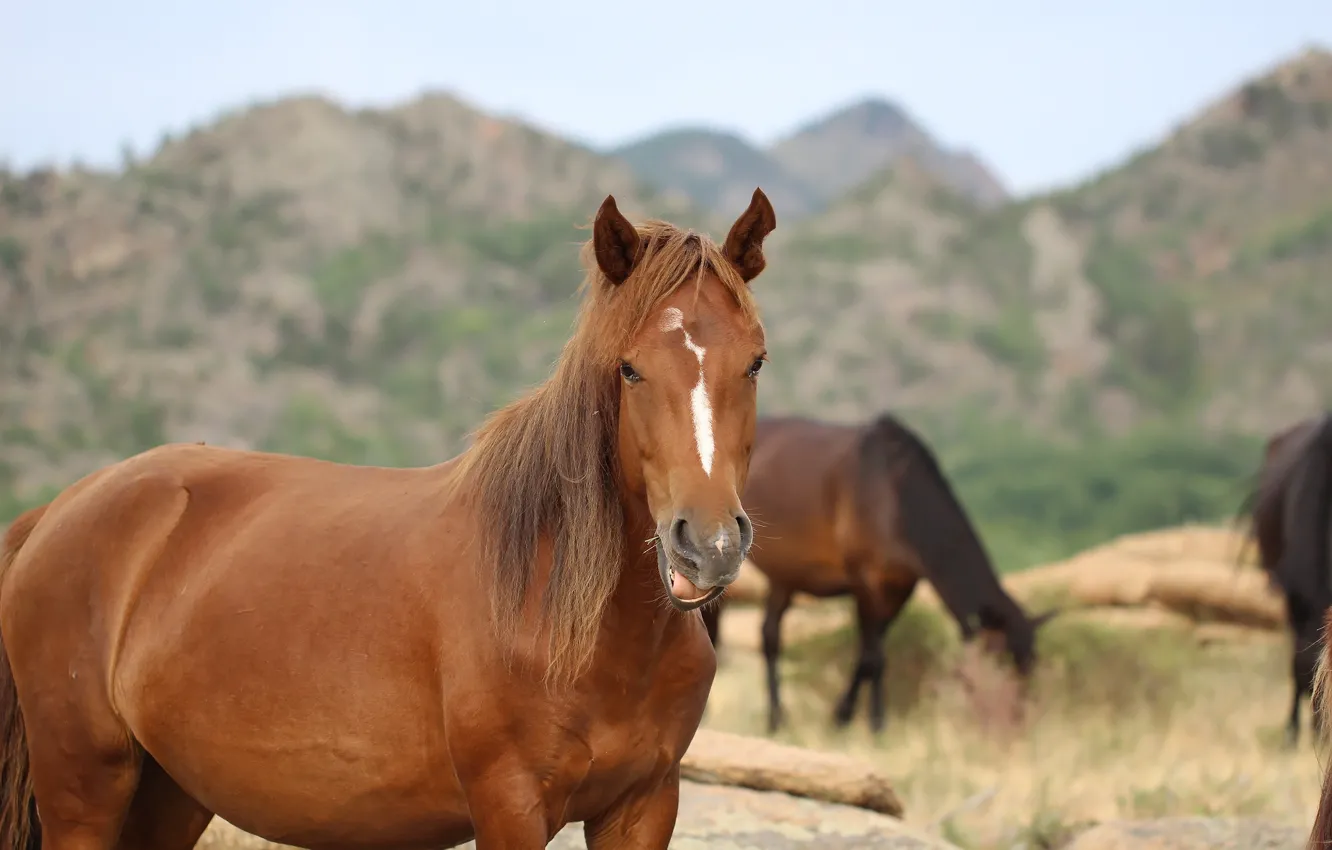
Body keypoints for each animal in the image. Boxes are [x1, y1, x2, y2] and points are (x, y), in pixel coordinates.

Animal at [0, 191, 777, 850]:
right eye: (630, 369)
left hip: (170, 793)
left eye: (755, 363)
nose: (708, 544)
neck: (560, 607)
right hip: (85, 790)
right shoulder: (511, 805)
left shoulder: (643, 806)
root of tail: (61, 509)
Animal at [703, 413, 1054, 735]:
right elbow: (874, 657)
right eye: (999, 661)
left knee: (770, 636)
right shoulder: (865, 582)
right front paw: (874, 723)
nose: (1014, 726)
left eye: (1030, 666)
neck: (895, 493)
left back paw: (776, 720)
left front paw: (843, 717)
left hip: (785, 576)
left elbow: (867, 656)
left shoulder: (900, 589)